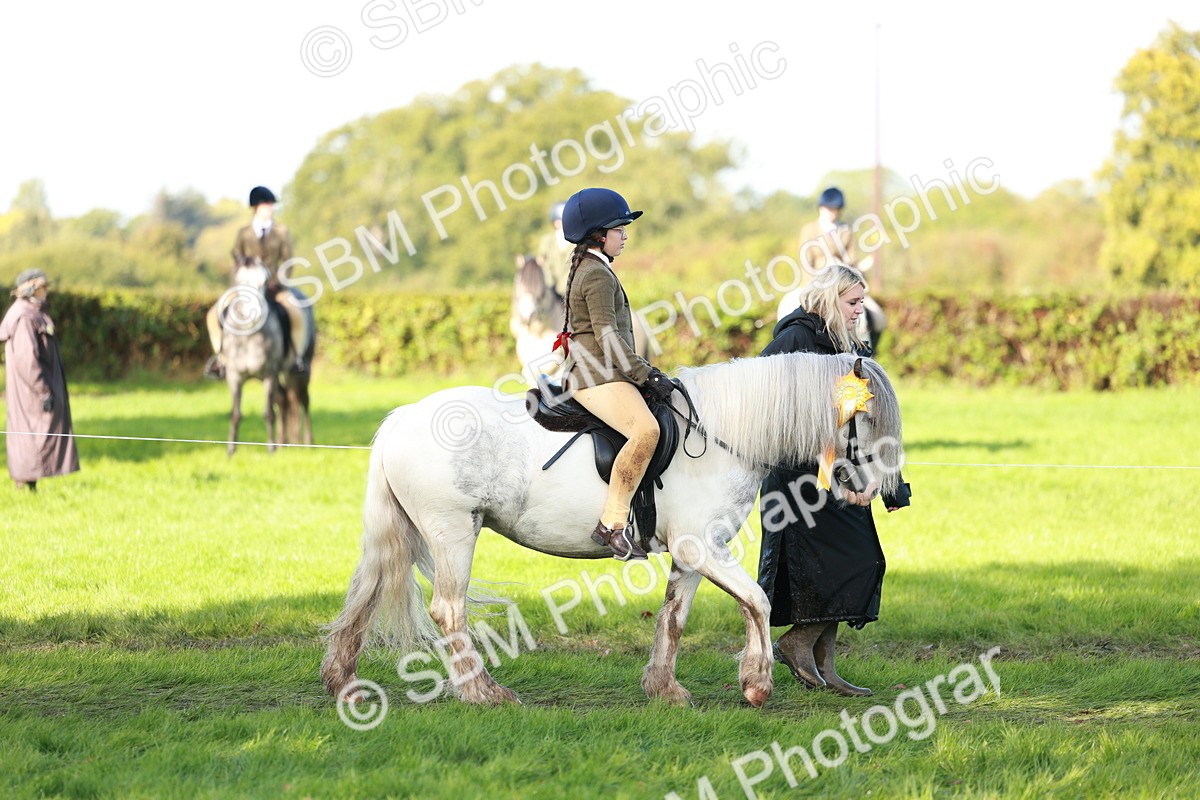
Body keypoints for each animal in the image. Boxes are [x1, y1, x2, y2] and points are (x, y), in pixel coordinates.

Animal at [220, 258, 286, 456]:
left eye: (265, 281)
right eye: (240, 281)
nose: (255, 313)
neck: (249, 337)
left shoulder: (270, 376)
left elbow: (268, 413)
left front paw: (271, 448)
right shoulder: (234, 377)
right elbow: (235, 414)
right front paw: (231, 449)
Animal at [321, 351, 904, 708]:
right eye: (868, 419)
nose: (892, 494)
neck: (720, 432)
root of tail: (403, 417)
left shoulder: (693, 552)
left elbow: (675, 615)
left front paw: (664, 689)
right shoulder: (704, 546)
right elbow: (757, 601)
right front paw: (757, 685)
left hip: (405, 535)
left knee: (364, 596)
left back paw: (342, 683)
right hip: (453, 533)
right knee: (448, 610)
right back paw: (483, 692)